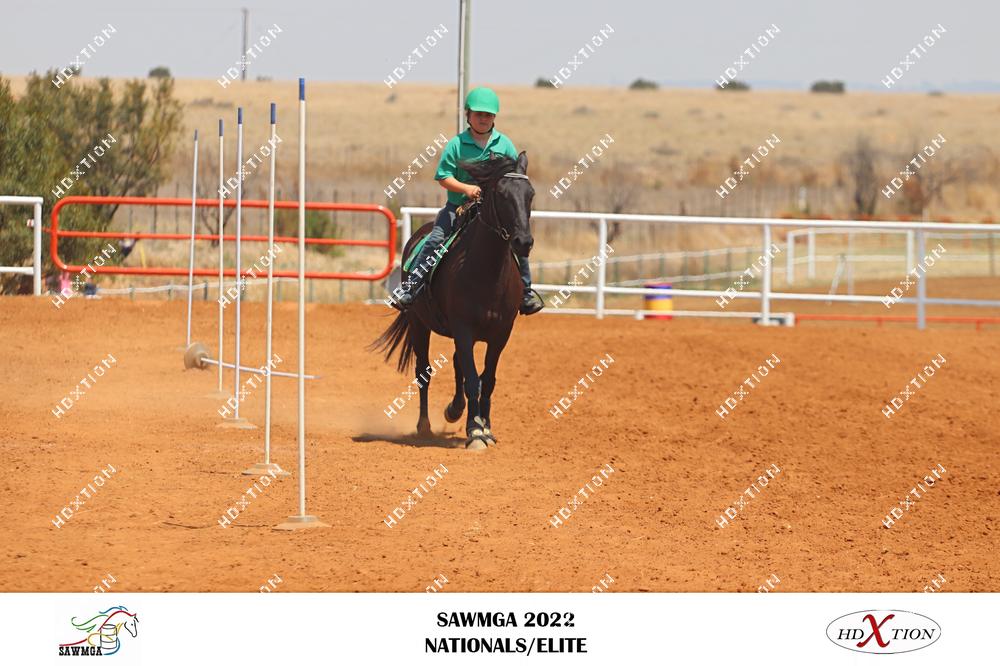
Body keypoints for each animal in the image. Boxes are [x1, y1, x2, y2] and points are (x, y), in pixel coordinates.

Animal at [372, 152, 534, 450]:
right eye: (502, 194)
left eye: (530, 194)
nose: (523, 242)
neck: (488, 273)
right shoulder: (463, 329)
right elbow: (472, 379)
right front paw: (476, 433)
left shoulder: (501, 334)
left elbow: (486, 380)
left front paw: (485, 427)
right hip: (418, 324)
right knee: (423, 372)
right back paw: (425, 426)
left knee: (459, 364)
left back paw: (456, 410)